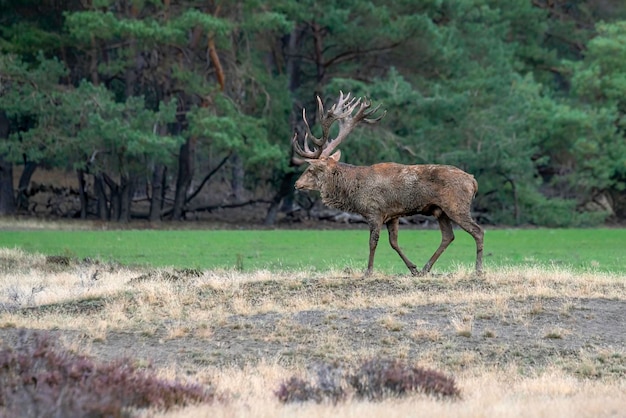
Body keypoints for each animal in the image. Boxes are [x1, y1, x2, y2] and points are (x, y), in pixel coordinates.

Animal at [292, 90, 482, 276]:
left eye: (310, 169)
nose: (296, 184)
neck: (354, 192)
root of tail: (473, 181)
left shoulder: (374, 211)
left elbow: (373, 242)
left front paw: (368, 271)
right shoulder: (393, 214)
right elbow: (394, 242)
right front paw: (413, 268)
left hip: (457, 206)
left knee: (478, 231)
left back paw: (478, 269)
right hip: (440, 210)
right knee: (448, 236)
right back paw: (425, 268)